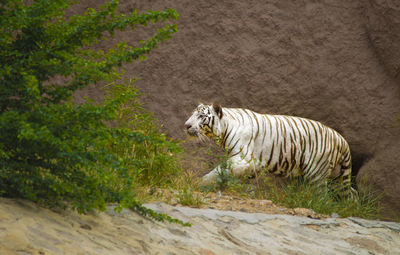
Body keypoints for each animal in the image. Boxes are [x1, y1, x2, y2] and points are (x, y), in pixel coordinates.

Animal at [184, 102, 354, 194]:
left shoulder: (243, 158)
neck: (225, 128)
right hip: (336, 176)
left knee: (320, 195)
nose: (186, 125)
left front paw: (201, 182)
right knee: (350, 192)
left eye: (201, 116)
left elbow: (220, 169)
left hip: (317, 172)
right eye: (193, 114)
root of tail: (341, 139)